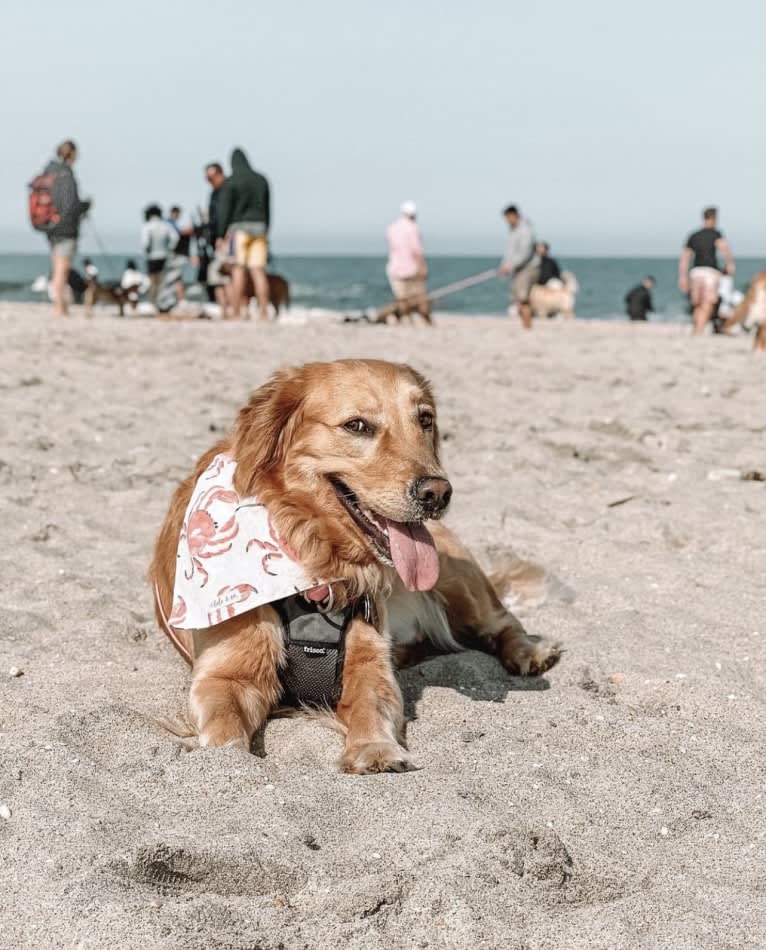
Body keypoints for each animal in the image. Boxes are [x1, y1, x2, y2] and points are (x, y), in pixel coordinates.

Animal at [150, 358, 560, 772]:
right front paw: (227, 758)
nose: (437, 493)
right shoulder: (225, 675)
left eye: (425, 419)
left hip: (458, 580)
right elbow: (224, 728)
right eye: (357, 426)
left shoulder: (369, 659)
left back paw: (530, 651)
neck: (316, 556)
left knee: (503, 621)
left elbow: (370, 703)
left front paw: (373, 747)